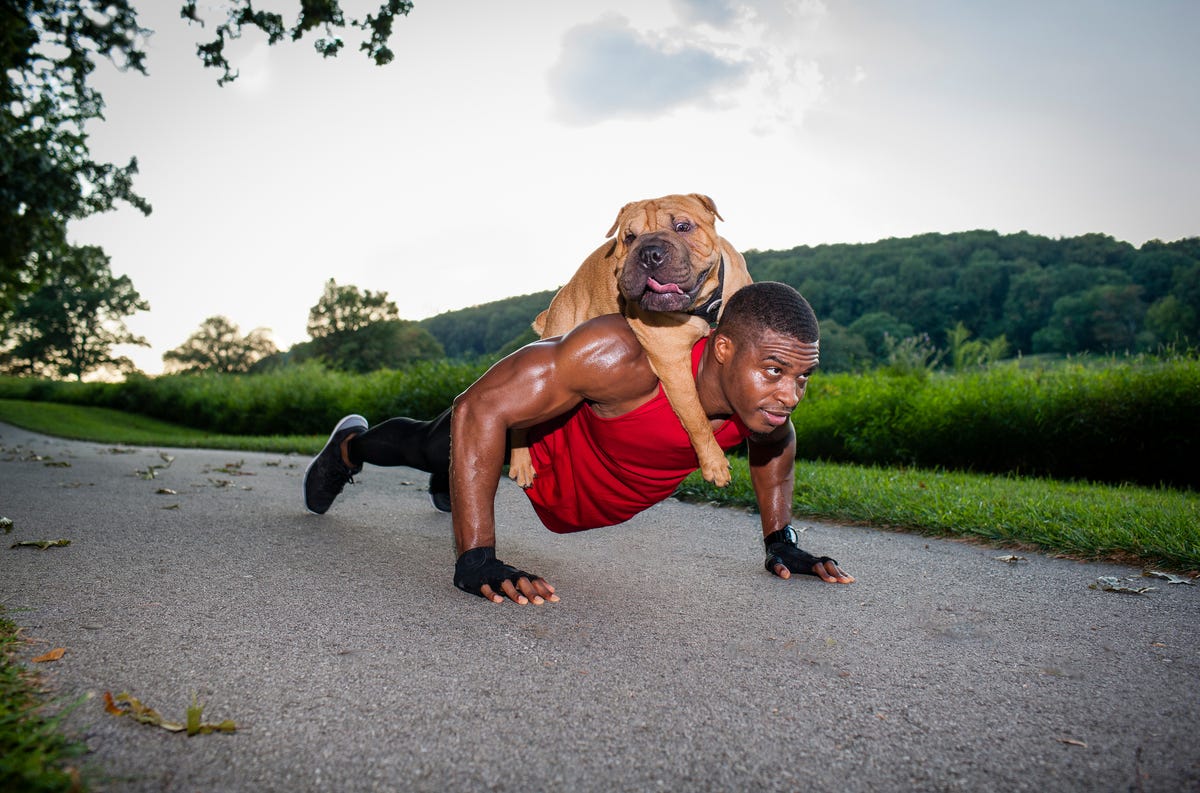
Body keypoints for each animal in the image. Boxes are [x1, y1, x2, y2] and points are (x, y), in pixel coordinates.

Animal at [511, 193, 753, 489]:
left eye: (683, 226)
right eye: (629, 237)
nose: (649, 253)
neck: (703, 307)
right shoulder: (673, 365)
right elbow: (696, 417)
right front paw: (714, 464)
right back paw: (521, 463)